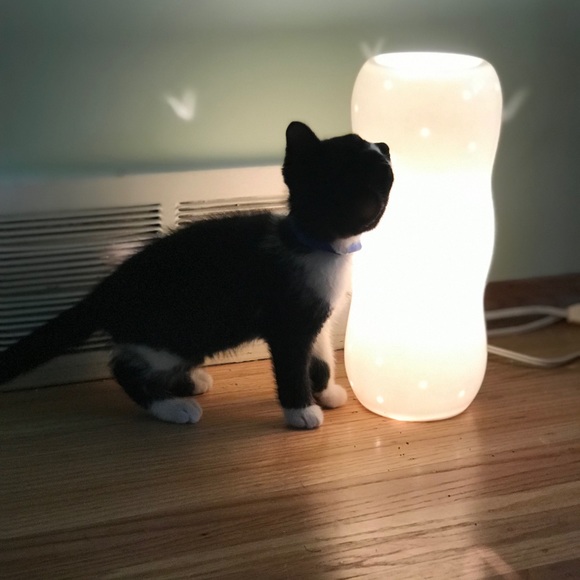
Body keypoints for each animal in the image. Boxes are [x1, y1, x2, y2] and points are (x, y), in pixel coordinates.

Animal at [0, 121, 393, 429]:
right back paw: (172, 406)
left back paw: (188, 382)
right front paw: (302, 410)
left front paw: (326, 391)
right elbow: (293, 365)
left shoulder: (319, 317)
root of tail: (105, 289)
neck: (312, 242)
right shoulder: (288, 322)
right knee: (126, 368)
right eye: (380, 162)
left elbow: (322, 356)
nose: (388, 145)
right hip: (168, 334)